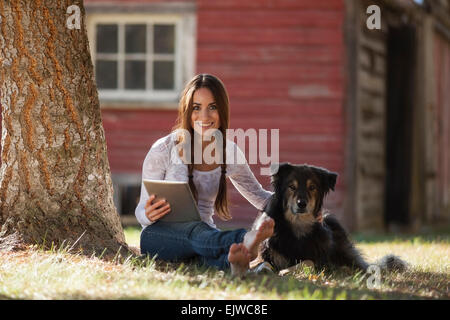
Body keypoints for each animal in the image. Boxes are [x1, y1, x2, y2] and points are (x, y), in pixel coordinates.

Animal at [253, 164, 408, 274]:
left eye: (312, 187)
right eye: (291, 187)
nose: (302, 204)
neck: (298, 226)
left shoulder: (320, 261)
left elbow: (309, 261)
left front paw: (285, 271)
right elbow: (260, 262)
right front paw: (262, 269)